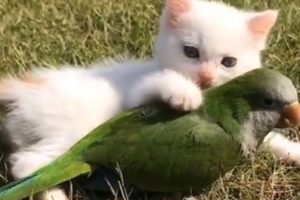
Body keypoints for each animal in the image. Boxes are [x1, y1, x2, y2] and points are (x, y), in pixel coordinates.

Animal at [0, 0, 278, 199]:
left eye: (228, 62)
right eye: (191, 52)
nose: (205, 77)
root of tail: (26, 87)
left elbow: (266, 135)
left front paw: (285, 148)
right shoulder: (137, 95)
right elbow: (160, 85)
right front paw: (186, 95)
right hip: (72, 132)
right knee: (29, 164)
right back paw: (54, 195)